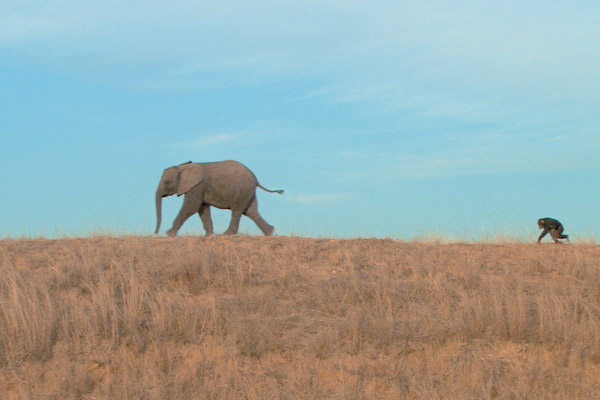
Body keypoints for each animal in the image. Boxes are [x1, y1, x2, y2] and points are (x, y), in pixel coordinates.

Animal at [155, 160, 286, 236]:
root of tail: (256, 178)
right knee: (250, 211)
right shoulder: (200, 187)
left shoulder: (197, 186)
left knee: (237, 210)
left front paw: (169, 234)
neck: (182, 167)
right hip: (248, 191)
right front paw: (209, 236)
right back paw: (270, 232)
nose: (156, 233)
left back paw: (227, 234)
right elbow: (202, 209)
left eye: (167, 182)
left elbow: (191, 206)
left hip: (242, 189)